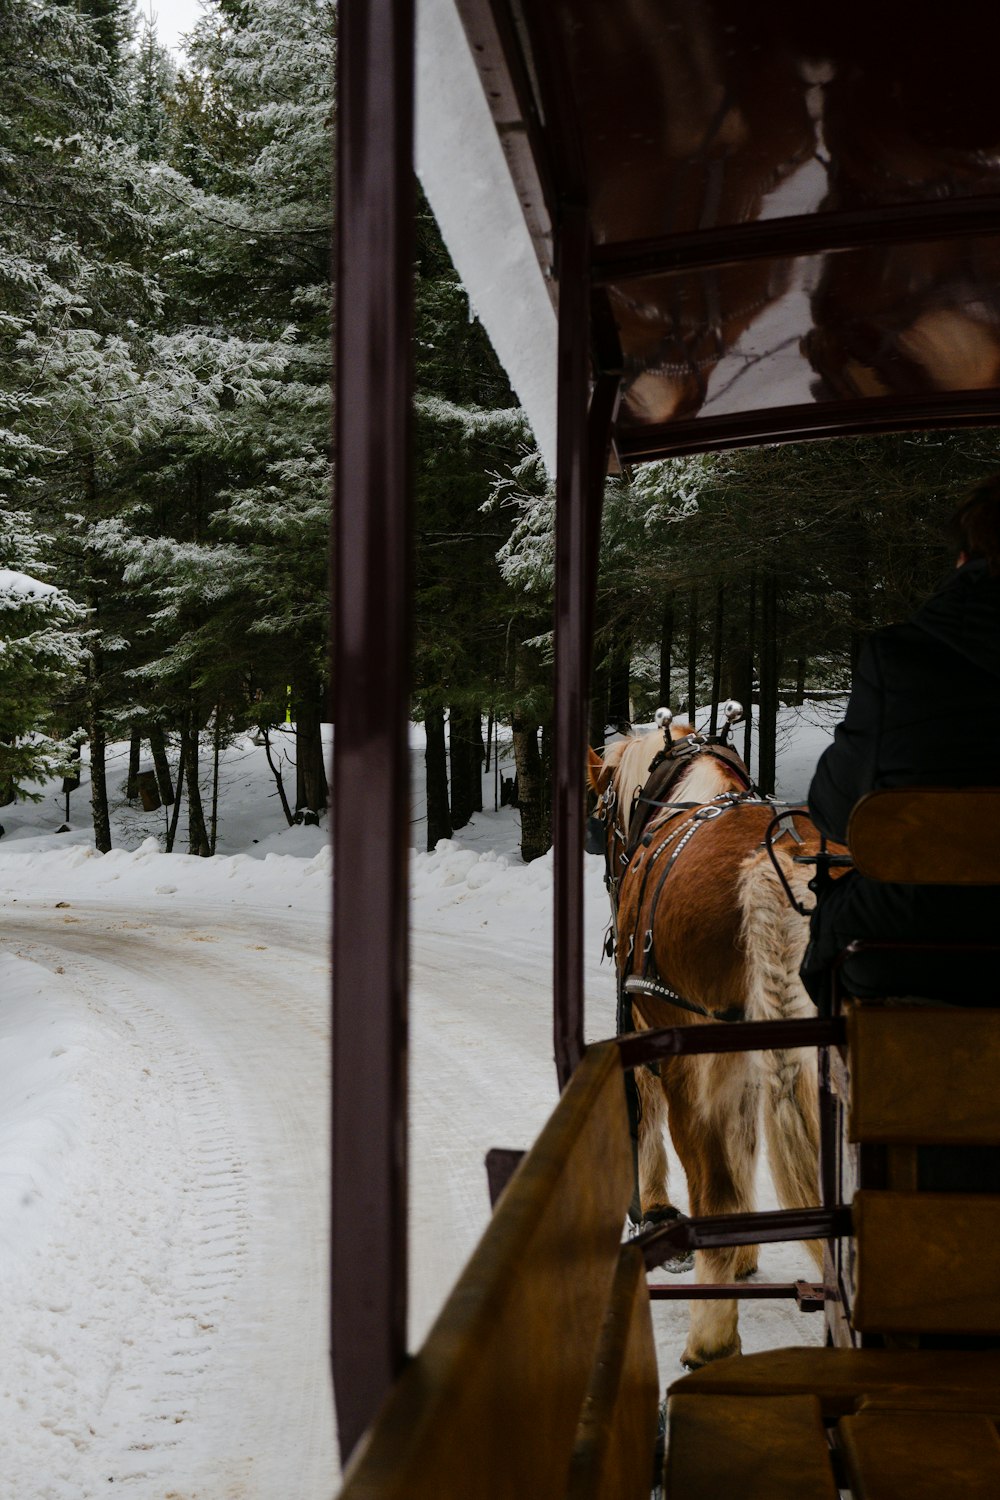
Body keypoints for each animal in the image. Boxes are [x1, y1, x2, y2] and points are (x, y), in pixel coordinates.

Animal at [590, 714, 833, 1374]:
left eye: (600, 811)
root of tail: (786, 864)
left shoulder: (650, 1022)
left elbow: (646, 1116)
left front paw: (656, 1214)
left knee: (713, 1180)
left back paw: (711, 1340)